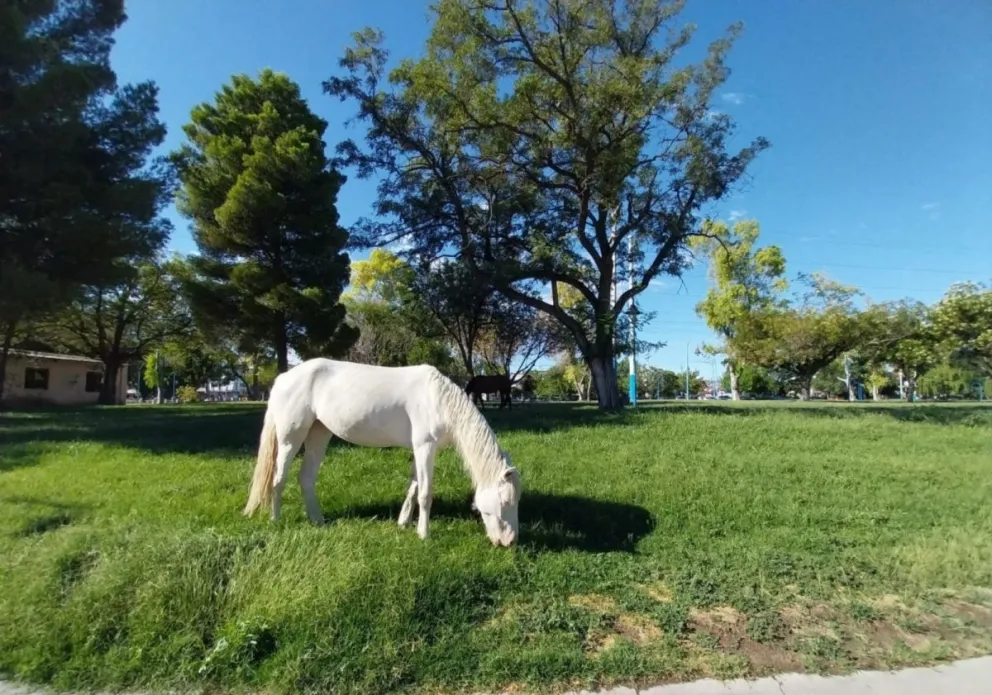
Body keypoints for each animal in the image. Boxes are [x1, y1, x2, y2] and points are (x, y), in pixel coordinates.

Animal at [243, 358, 521, 546]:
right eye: (506, 502)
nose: (509, 541)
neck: (437, 400)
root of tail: (283, 378)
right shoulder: (424, 447)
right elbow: (425, 492)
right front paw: (424, 534)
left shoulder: (418, 449)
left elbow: (413, 487)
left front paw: (403, 523)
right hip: (290, 438)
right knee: (278, 479)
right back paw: (275, 520)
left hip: (318, 434)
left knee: (306, 478)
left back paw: (318, 521)